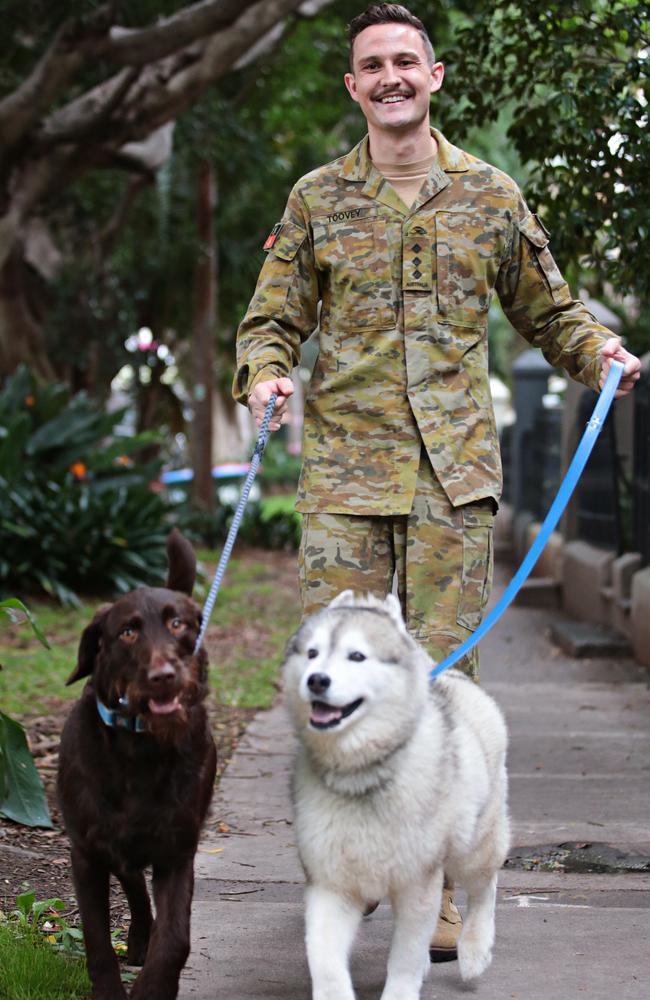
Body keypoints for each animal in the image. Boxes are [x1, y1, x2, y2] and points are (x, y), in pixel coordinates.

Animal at [58, 528, 216, 996]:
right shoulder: (87, 853)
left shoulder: (177, 851)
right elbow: (96, 940)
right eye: (127, 632)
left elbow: (176, 938)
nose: (163, 676)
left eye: (178, 624)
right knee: (133, 889)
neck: (140, 750)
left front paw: (153, 988)